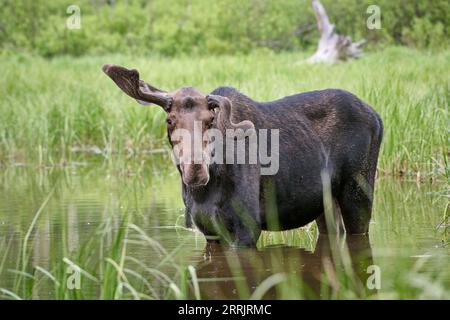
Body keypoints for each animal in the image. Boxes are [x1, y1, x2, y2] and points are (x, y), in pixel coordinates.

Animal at [103, 63, 384, 248]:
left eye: (210, 120)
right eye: (169, 120)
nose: (195, 170)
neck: (206, 191)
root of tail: (378, 117)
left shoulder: (247, 228)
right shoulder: (210, 231)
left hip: (358, 193)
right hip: (324, 204)